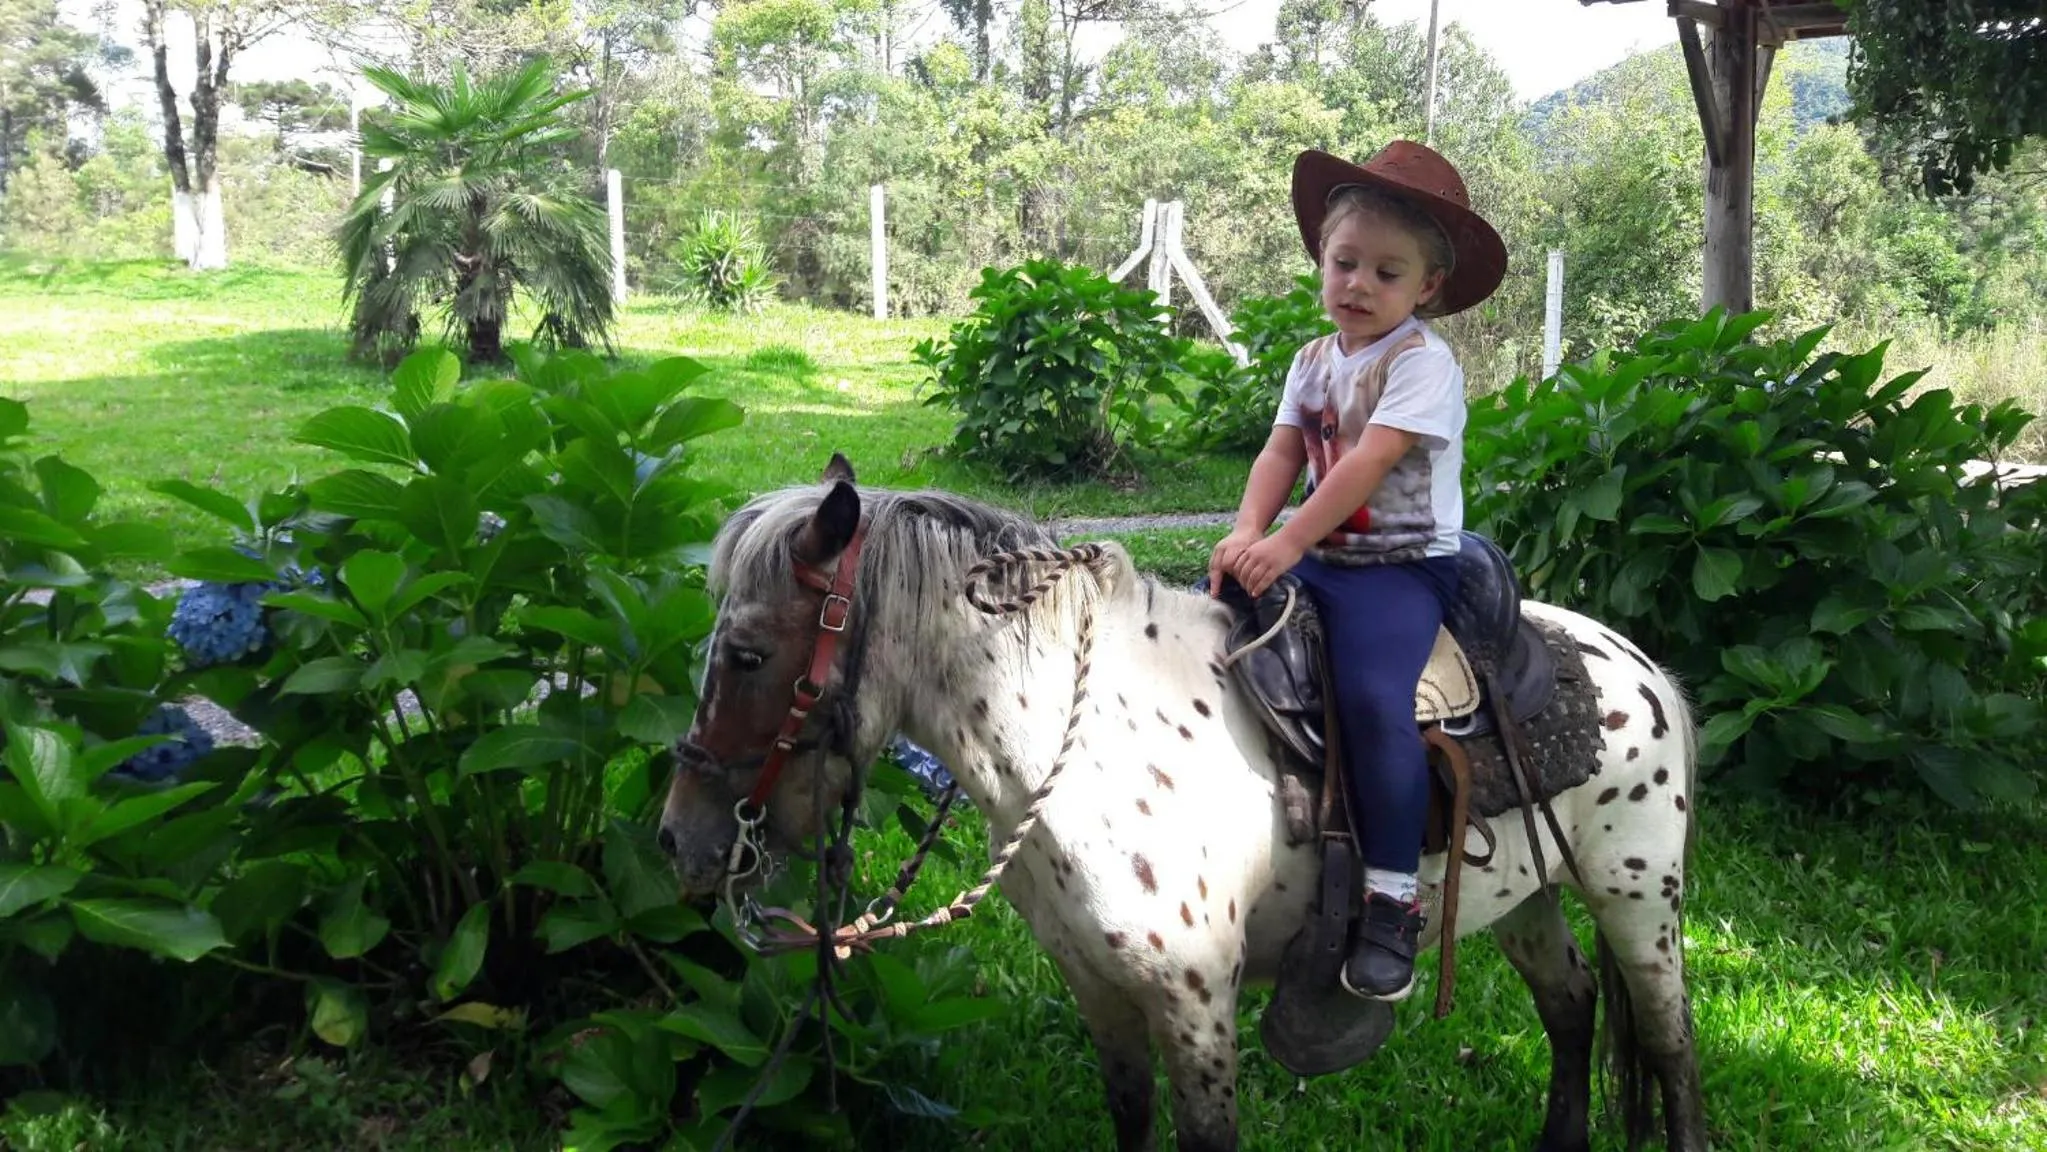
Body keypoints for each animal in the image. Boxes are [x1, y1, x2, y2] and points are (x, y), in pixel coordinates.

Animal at [658, 454, 1709, 1152]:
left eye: (746, 654)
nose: (679, 842)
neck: (1088, 754)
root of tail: (1642, 663)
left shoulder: (1195, 999)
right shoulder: (1096, 986)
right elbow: (1129, 1116)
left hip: (1636, 897)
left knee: (1668, 1044)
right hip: (1525, 894)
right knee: (1571, 1006)